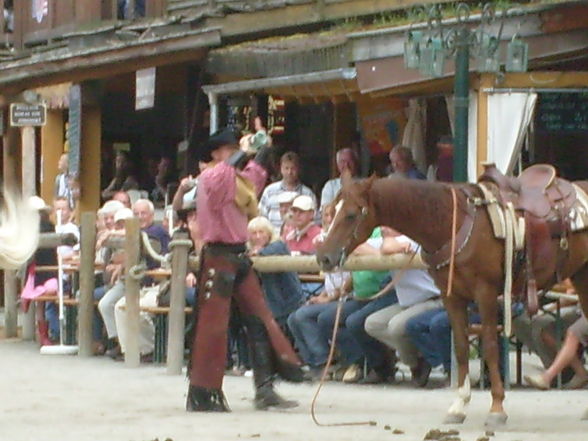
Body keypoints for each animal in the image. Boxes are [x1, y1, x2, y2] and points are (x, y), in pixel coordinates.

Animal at [320, 169, 588, 426]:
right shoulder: (453, 296)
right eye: (331, 210)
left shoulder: (485, 293)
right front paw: (458, 406)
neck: (452, 222)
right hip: (580, 277)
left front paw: (497, 408)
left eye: (351, 214)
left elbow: (490, 347)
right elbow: (459, 347)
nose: (324, 257)